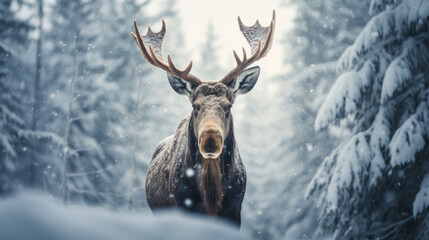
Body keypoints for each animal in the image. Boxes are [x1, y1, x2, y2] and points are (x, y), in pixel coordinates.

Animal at [130, 10, 276, 226]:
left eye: (228, 106)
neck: (211, 195)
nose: (210, 141)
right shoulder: (181, 207)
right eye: (195, 106)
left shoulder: (234, 211)